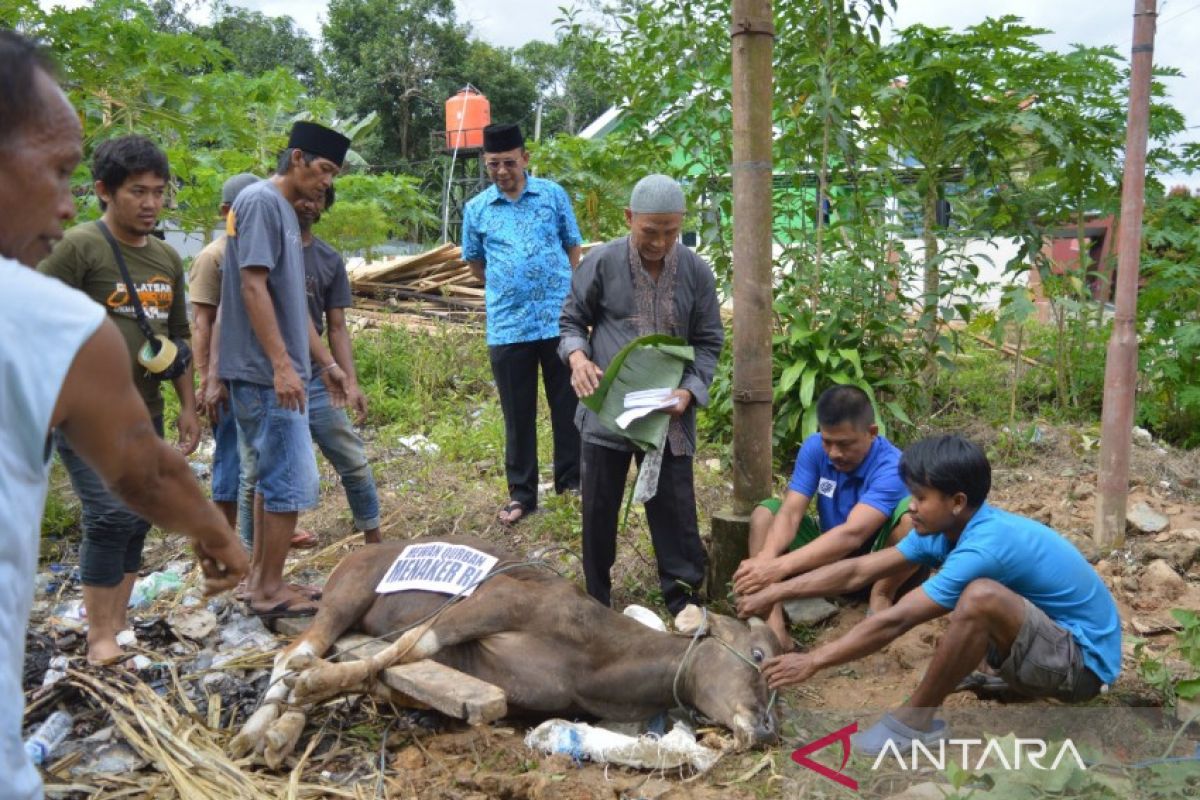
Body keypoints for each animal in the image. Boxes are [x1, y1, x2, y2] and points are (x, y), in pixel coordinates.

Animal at [234, 534, 782, 767]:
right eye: (758, 656)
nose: (767, 728)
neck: (595, 655)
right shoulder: (495, 601)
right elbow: (409, 645)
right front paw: (312, 686)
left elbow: (388, 672)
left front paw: (303, 704)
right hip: (346, 596)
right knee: (294, 653)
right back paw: (256, 727)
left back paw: (277, 732)